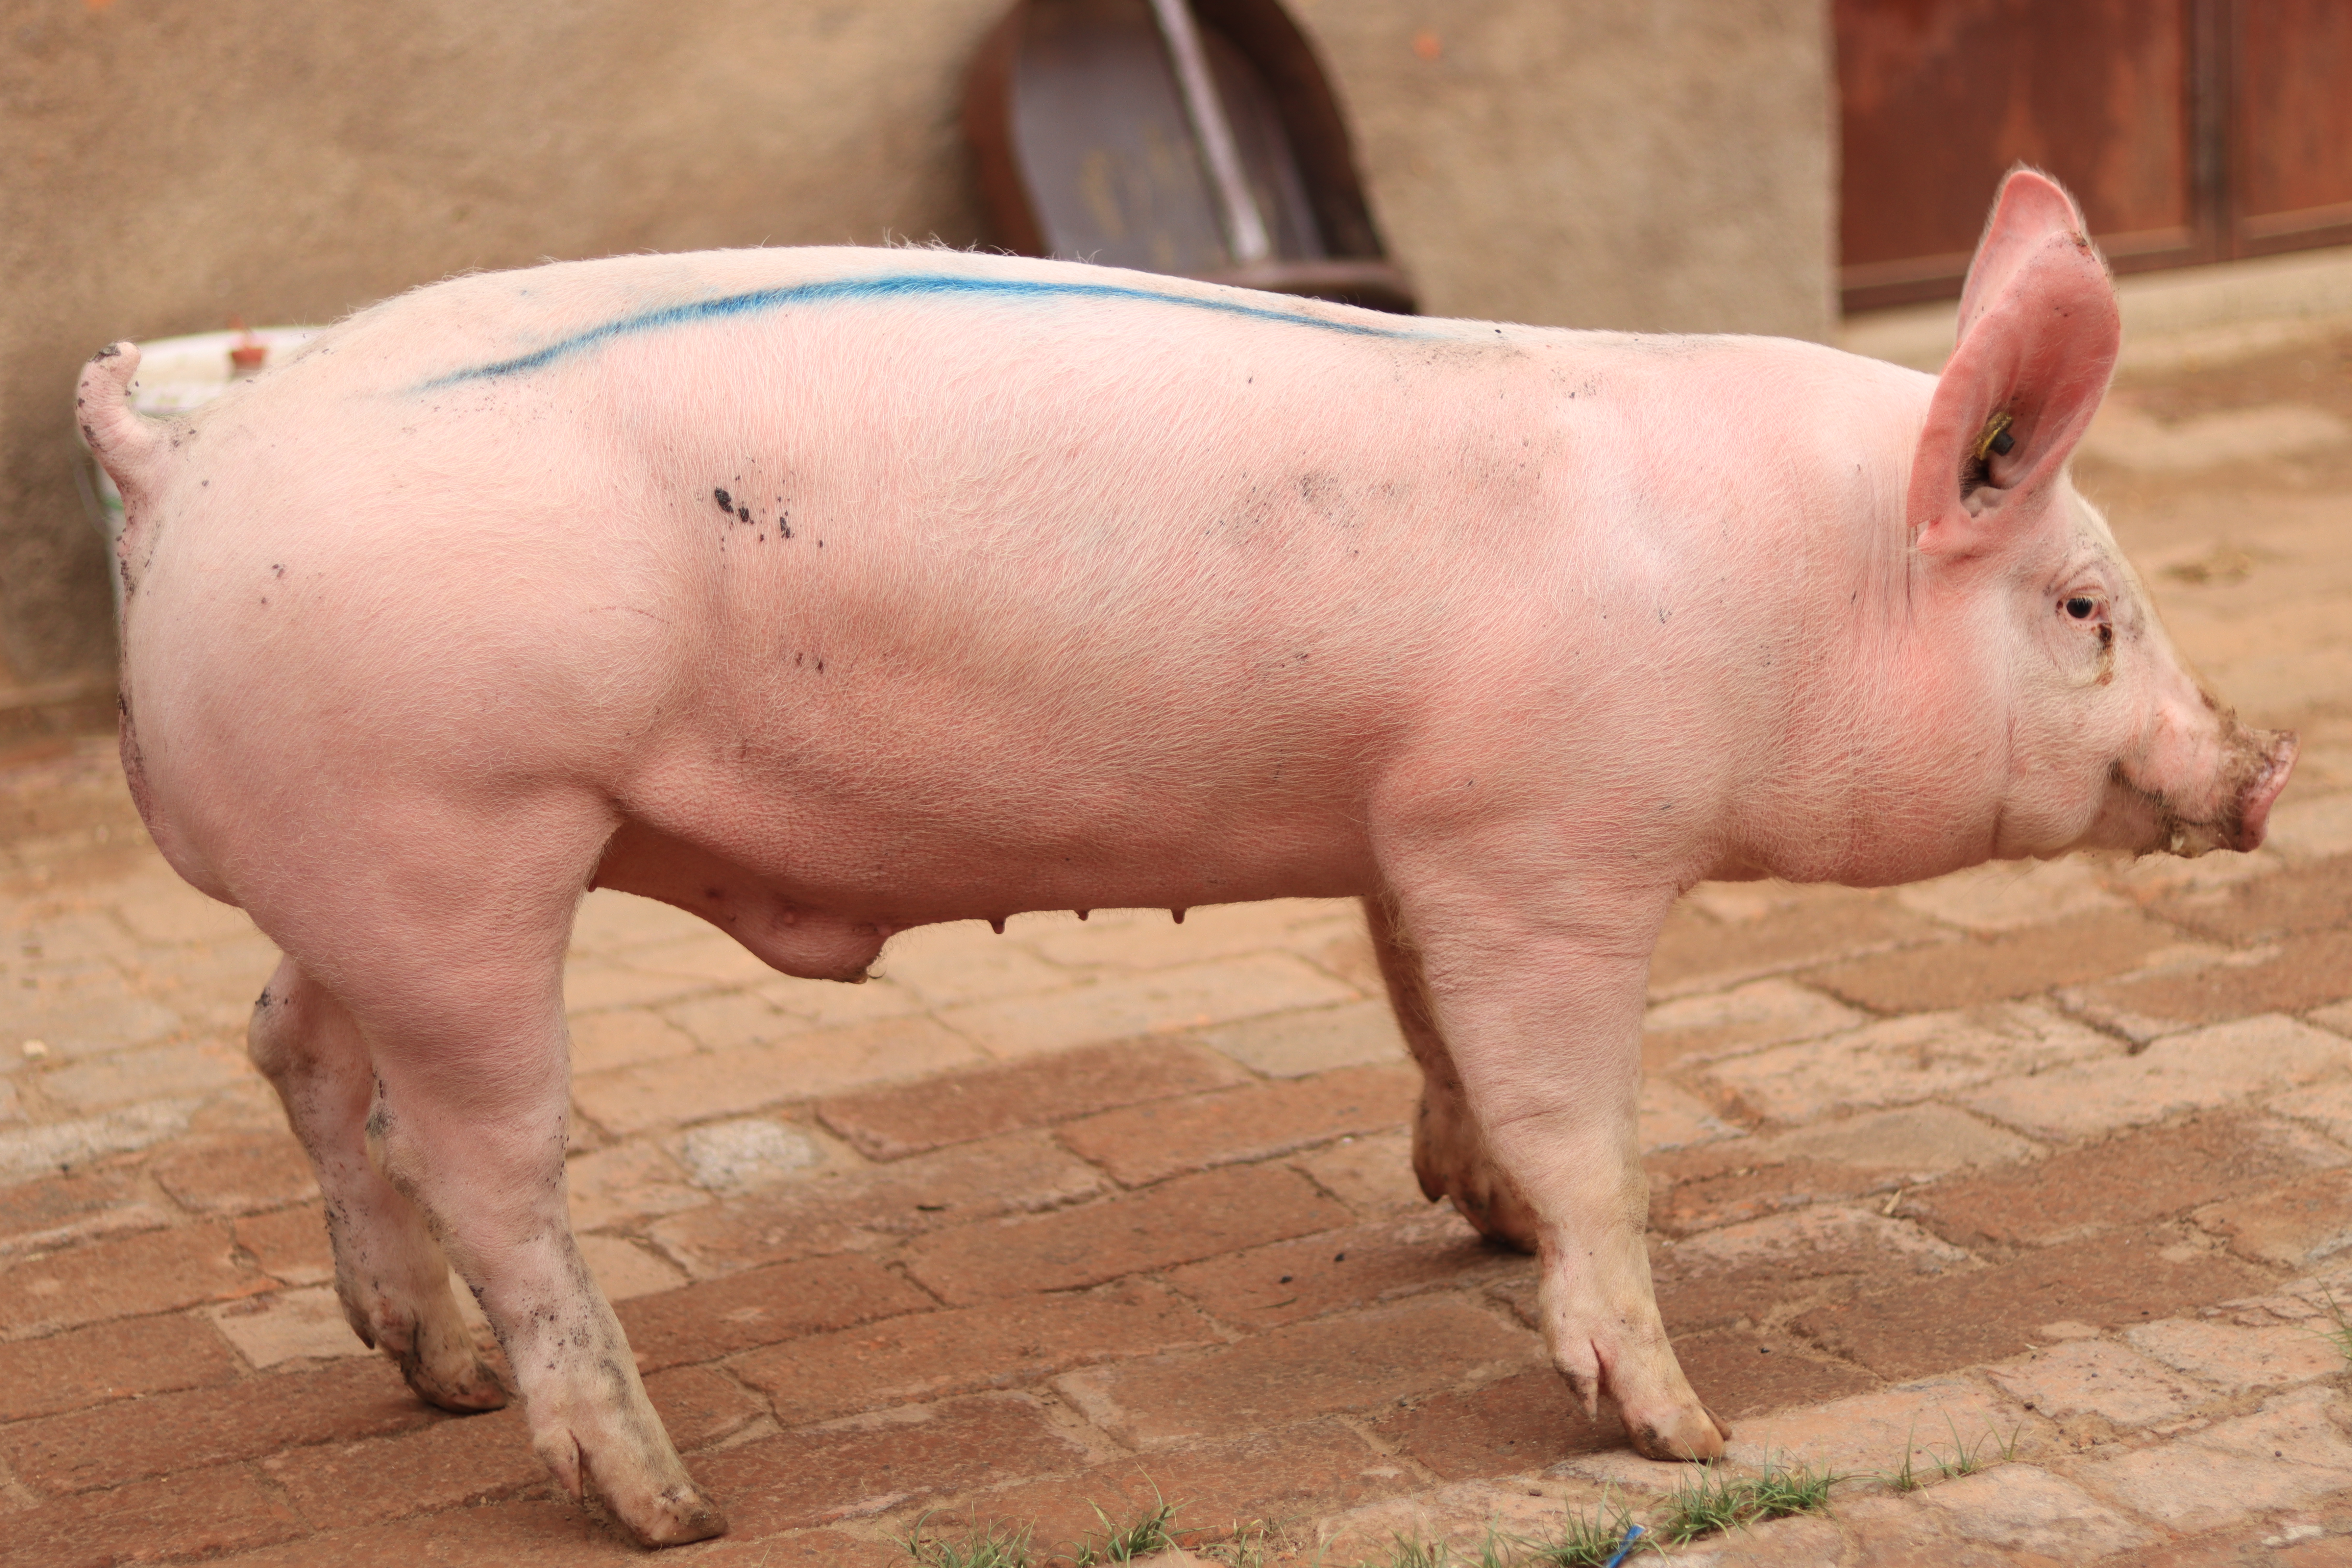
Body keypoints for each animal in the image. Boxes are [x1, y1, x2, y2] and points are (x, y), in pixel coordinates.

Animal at [77, 168, 2293, 1547]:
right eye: (2084, 609)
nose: (2263, 771)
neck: (1767, 587)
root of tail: (187, 456)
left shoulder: (1408, 822)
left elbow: (1428, 1021)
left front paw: (1477, 1217)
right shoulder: (1541, 837)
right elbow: (1585, 1123)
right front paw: (1677, 1421)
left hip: (351, 865)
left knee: (293, 1046)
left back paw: (430, 1374)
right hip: (460, 844)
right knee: (488, 1158)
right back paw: (664, 1496)